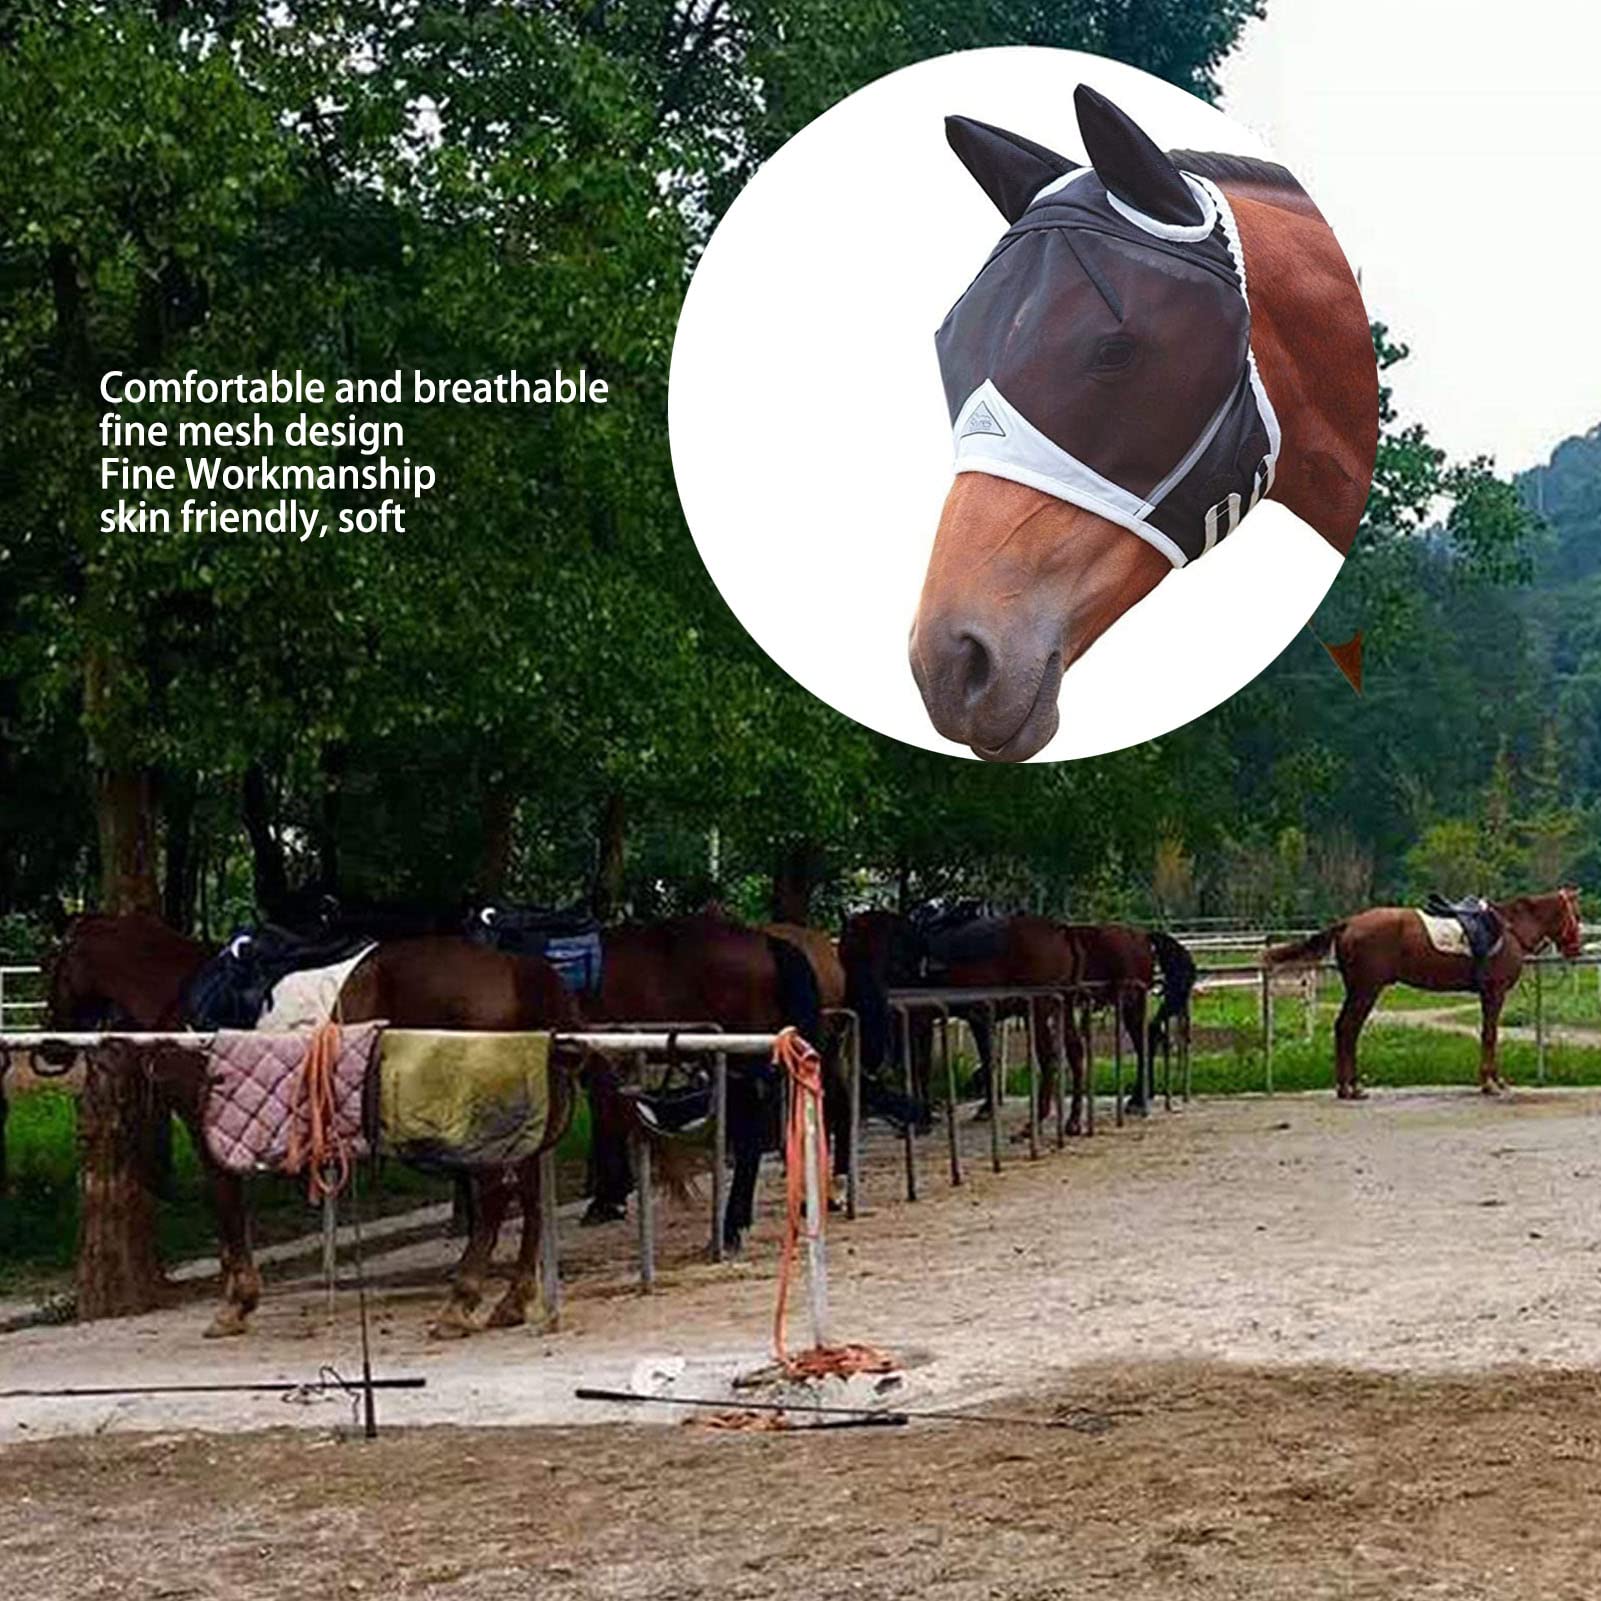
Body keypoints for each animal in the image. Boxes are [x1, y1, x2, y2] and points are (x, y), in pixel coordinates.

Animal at [43, 911, 584, 1338]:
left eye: (55, 966)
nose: (51, 1049)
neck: (181, 999)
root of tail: (515, 970)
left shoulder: (205, 1127)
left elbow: (226, 1206)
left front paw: (236, 1303)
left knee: (495, 1195)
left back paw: (460, 1304)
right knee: (529, 1194)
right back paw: (512, 1300)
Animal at [1265, 889, 1583, 1098]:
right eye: (1576, 914)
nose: (1575, 950)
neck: (1509, 930)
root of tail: (1349, 923)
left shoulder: (1487, 994)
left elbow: (1487, 1034)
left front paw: (1491, 1080)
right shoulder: (1494, 993)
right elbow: (1491, 1035)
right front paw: (1491, 1083)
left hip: (1358, 990)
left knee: (1345, 1029)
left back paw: (1348, 1086)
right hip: (1366, 990)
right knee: (1348, 1028)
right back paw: (1351, 1087)